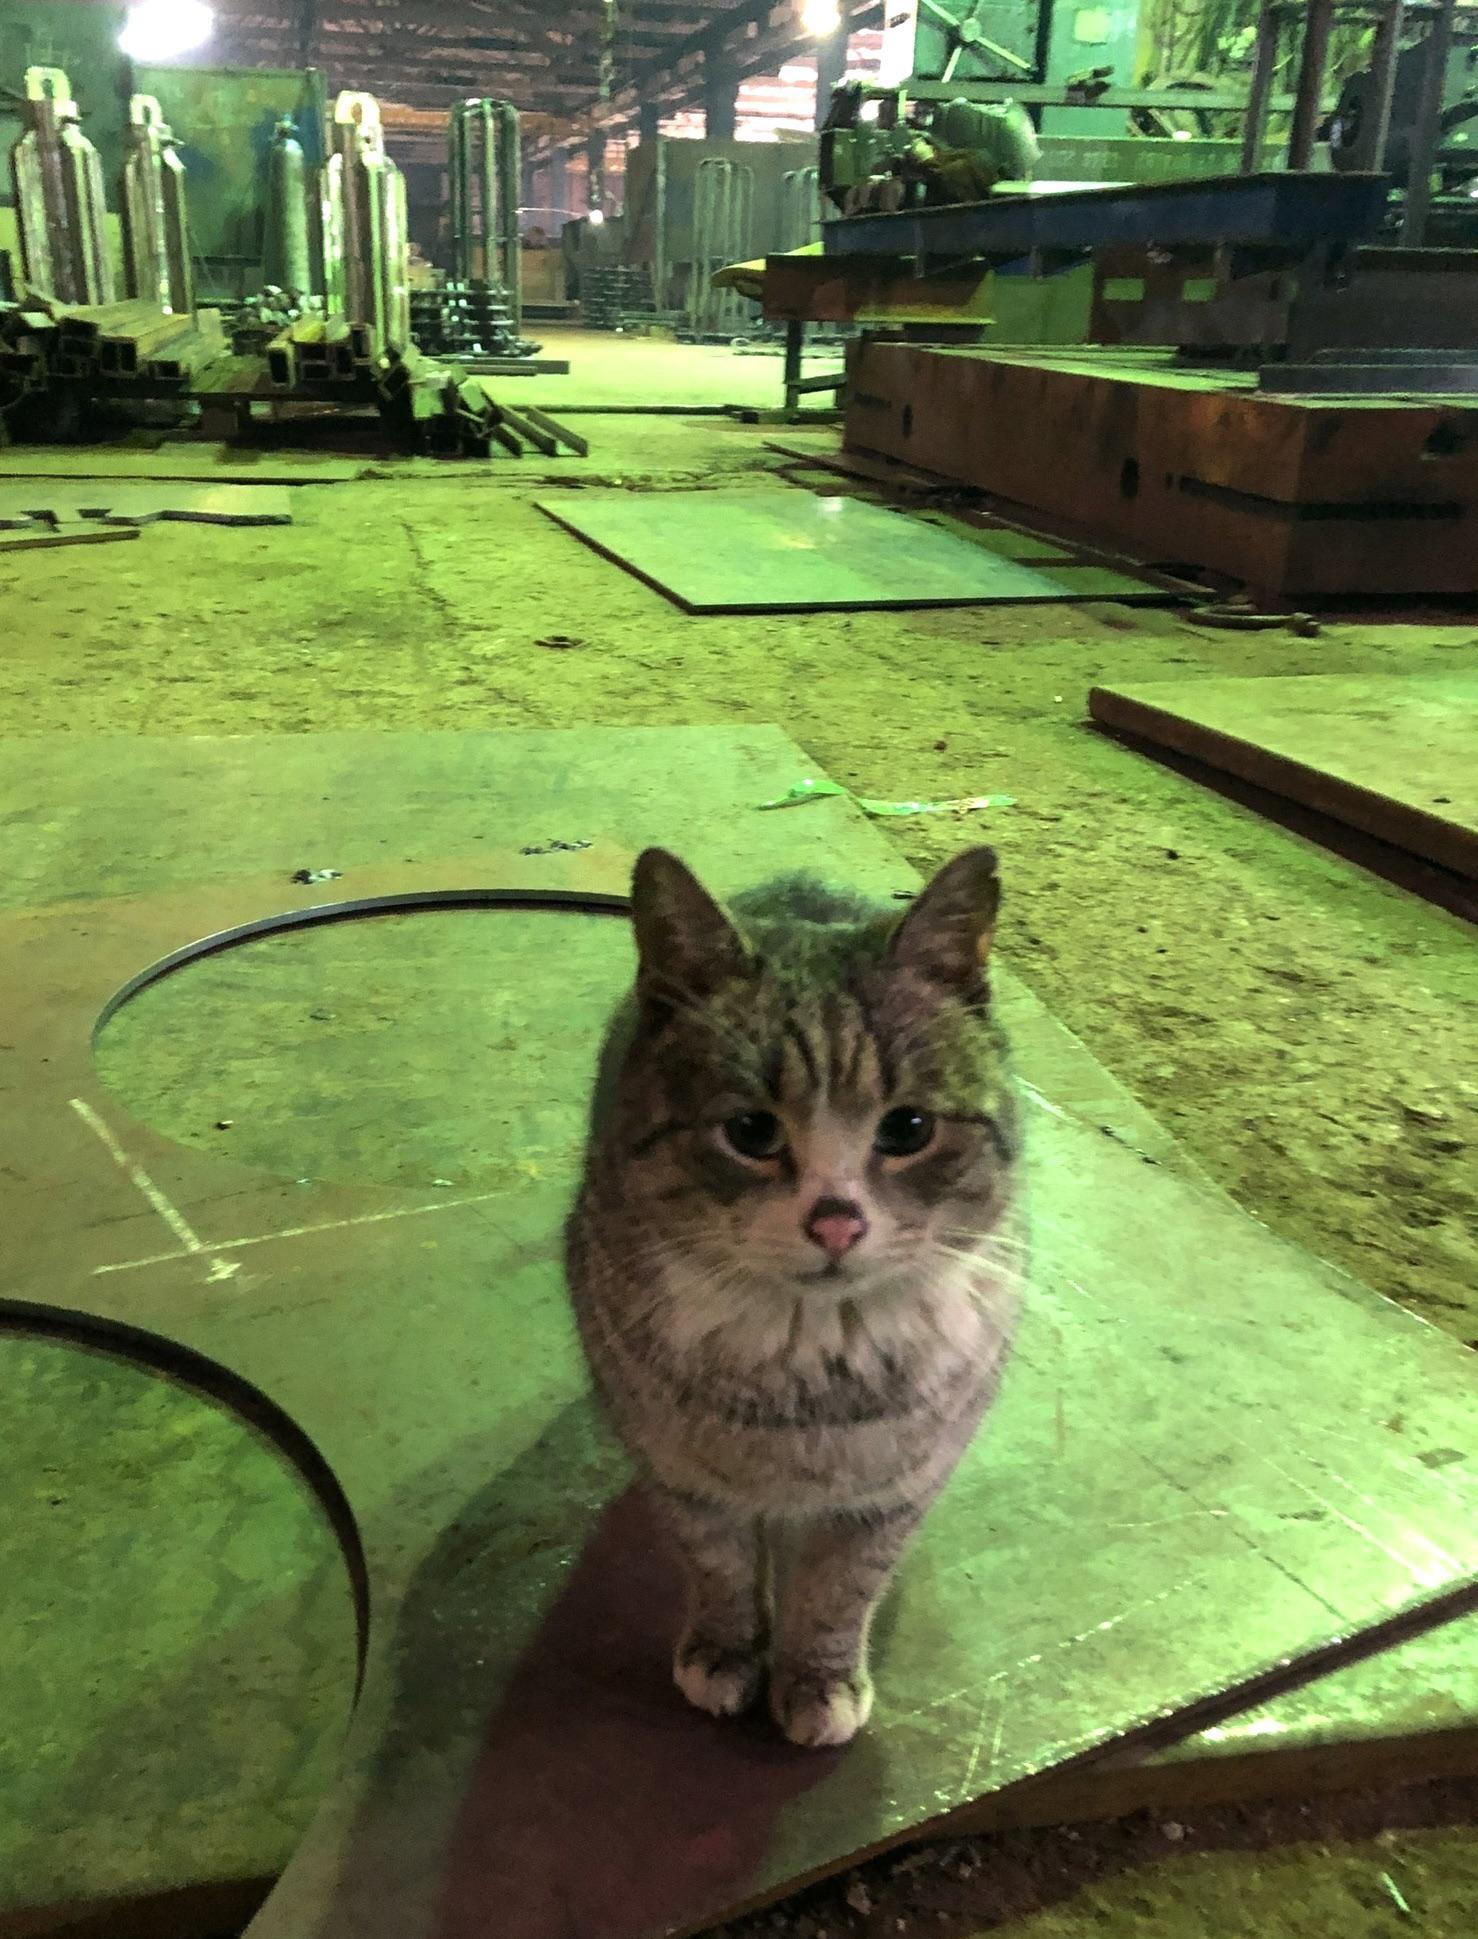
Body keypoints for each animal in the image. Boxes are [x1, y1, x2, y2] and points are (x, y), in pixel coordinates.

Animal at [566, 845, 1024, 1749]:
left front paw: (817, 1677)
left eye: (908, 1128)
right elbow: (720, 1567)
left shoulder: (897, 1492)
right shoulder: (685, 1480)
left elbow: (838, 1591)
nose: (836, 1221)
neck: (811, 1361)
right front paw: (726, 1652)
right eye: (750, 1131)